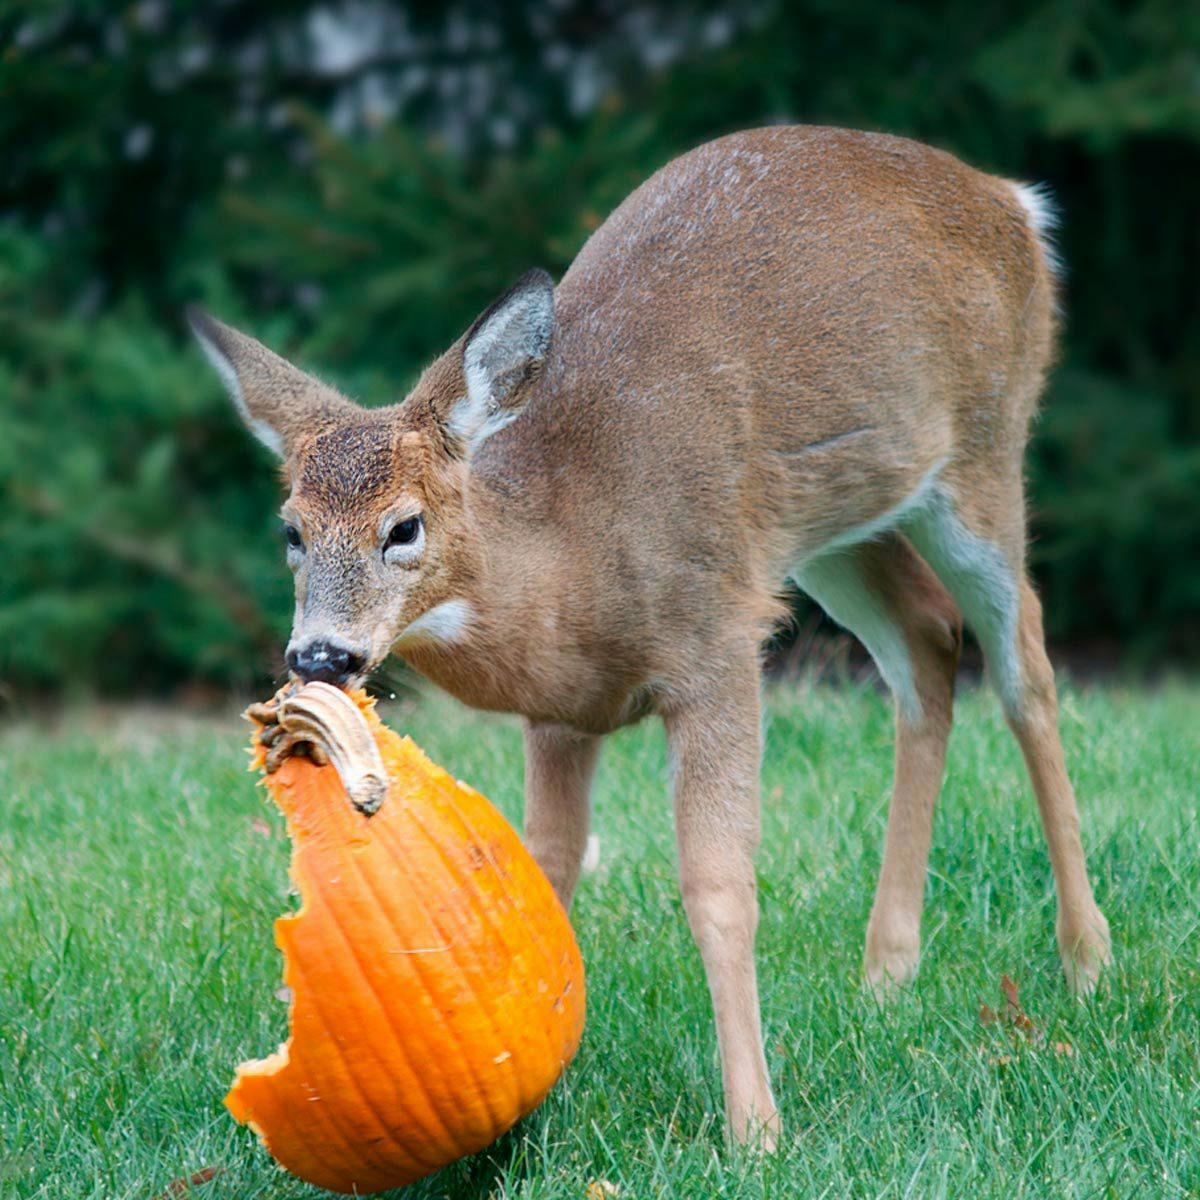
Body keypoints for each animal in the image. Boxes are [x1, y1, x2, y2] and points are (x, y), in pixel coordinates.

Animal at [189, 126, 1113, 1147]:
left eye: (405, 527)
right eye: (291, 530)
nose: (322, 656)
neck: (573, 560)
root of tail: (1013, 203)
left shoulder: (715, 645)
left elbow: (718, 887)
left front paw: (755, 1129)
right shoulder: (562, 714)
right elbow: (545, 875)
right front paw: (535, 1088)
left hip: (984, 450)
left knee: (1025, 661)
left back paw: (1086, 961)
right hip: (835, 517)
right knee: (926, 642)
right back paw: (886, 972)